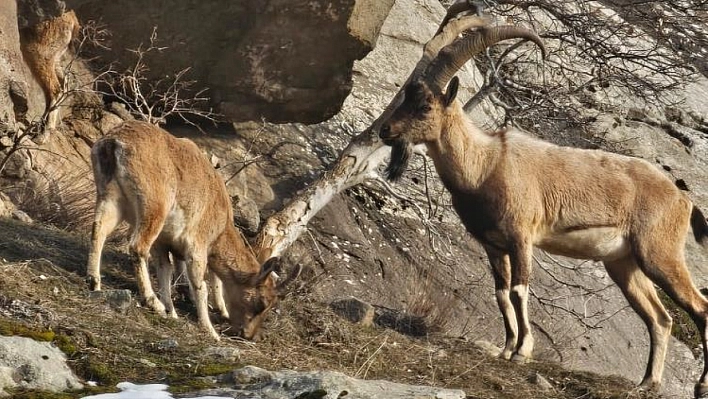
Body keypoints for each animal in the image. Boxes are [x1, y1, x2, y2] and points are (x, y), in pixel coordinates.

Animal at [87, 122, 300, 340]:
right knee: (137, 246)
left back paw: (94, 282)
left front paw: (172, 312)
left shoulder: (164, 243)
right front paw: (210, 330)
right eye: (261, 304)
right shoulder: (197, 245)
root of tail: (114, 142)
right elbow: (201, 285)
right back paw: (152, 301)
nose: (249, 335)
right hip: (154, 206)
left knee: (99, 229)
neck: (221, 228)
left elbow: (166, 271)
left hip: (110, 196)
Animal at [382, 4, 708, 398]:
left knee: (700, 308)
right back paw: (648, 381)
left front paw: (523, 351)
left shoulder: (522, 236)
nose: (385, 131)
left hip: (659, 252)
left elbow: (520, 290)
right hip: (624, 263)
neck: (485, 165)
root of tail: (683, 199)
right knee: (660, 318)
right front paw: (506, 348)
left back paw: (700, 385)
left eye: (426, 106)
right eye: (406, 97)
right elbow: (501, 293)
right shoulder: (492, 244)